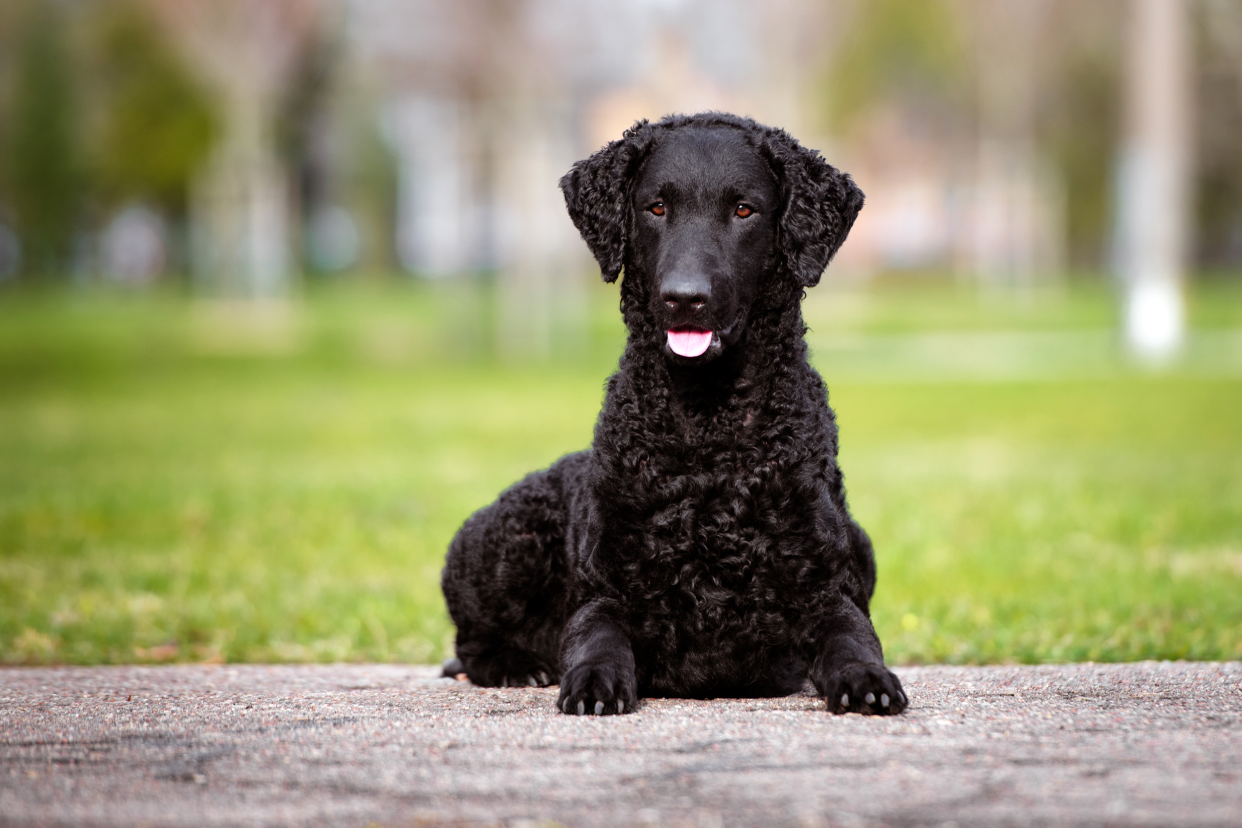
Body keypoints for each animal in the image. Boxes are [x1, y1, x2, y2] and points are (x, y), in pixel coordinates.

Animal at [442, 113, 909, 715]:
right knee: (469, 644)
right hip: (507, 542)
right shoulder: (605, 591)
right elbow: (596, 636)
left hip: (862, 545)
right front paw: (593, 681)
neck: (709, 434)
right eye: (656, 207)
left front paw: (866, 678)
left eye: (743, 210)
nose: (684, 297)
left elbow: (852, 636)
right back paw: (517, 666)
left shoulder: (824, 589)